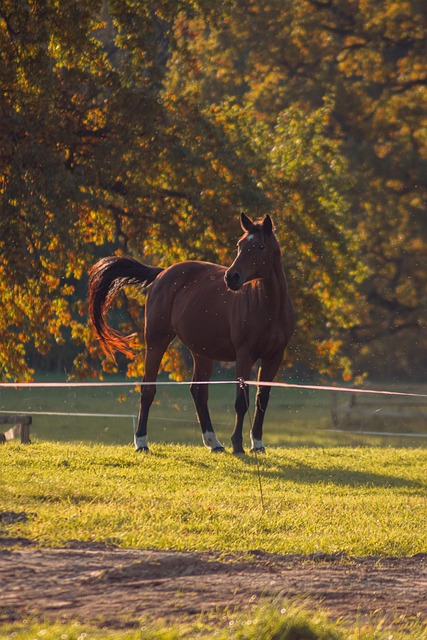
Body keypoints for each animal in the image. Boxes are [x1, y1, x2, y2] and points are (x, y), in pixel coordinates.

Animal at [88, 213, 295, 454]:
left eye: (261, 246)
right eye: (240, 245)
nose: (231, 277)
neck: (269, 306)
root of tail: (162, 273)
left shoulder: (274, 357)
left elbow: (262, 399)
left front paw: (258, 444)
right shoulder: (245, 355)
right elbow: (241, 401)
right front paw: (238, 444)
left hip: (202, 352)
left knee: (199, 392)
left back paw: (214, 442)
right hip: (156, 342)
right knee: (148, 390)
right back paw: (141, 442)